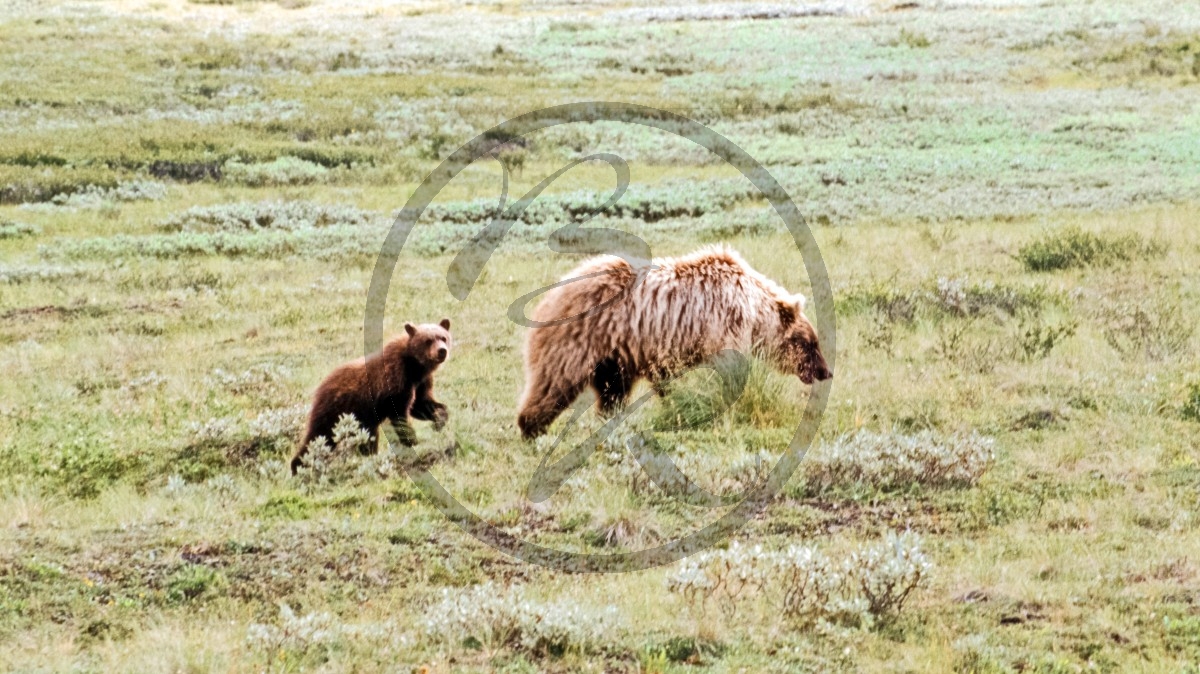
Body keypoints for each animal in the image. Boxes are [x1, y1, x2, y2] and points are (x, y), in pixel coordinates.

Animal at [289, 319, 451, 472]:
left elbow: (421, 404)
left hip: (361, 420)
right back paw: (298, 465)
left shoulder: (421, 382)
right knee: (318, 436)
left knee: (366, 439)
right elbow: (400, 414)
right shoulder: (395, 381)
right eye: (428, 340)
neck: (414, 367)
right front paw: (412, 440)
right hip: (336, 410)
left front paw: (439, 418)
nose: (442, 351)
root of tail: (321, 386)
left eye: (443, 337)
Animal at [516, 243, 835, 438]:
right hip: (581, 338)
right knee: (554, 381)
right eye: (811, 343)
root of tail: (553, 293)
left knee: (612, 390)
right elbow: (726, 375)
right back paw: (531, 428)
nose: (825, 371)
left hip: (613, 355)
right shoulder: (719, 325)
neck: (753, 311)